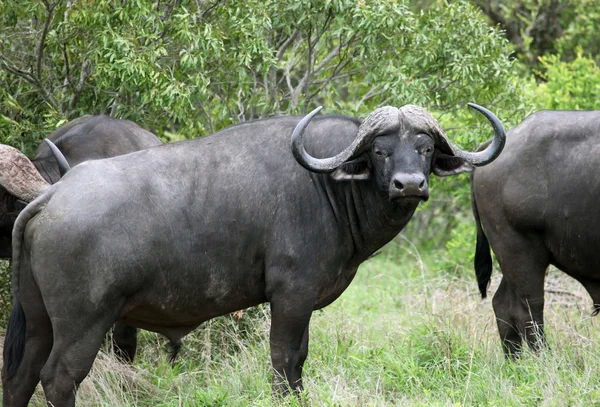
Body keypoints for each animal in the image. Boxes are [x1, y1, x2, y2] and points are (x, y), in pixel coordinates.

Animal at [474, 111, 600, 356]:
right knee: (528, 307)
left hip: (512, 255)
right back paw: (544, 358)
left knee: (502, 303)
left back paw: (514, 359)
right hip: (519, 249)